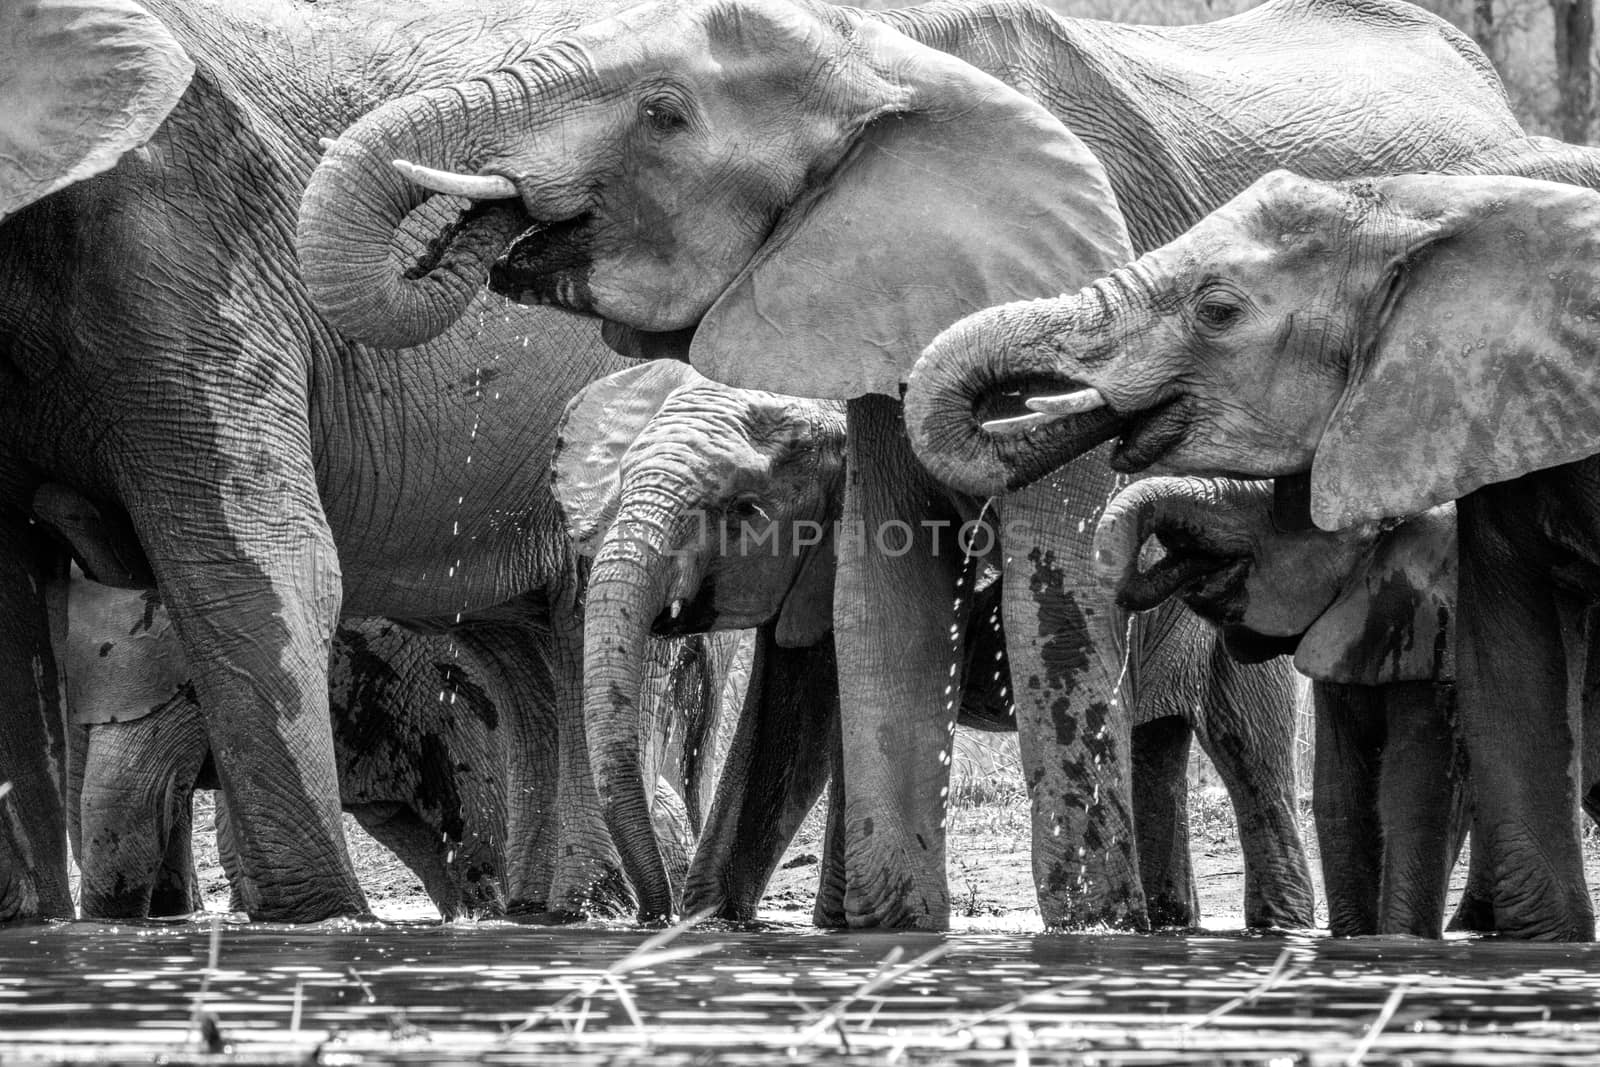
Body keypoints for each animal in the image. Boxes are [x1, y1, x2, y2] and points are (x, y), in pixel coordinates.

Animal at [0, 0, 681, 927]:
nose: (513, 208)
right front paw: (29, 923)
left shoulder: (189, 251)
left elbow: (251, 574)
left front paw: (323, 921)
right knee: (530, 656)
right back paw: (545, 912)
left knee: (580, 630)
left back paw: (583, 909)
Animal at [550, 363, 1312, 927]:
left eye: (742, 509)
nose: (647, 915)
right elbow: (780, 734)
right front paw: (715, 924)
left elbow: (806, 736)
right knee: (1155, 745)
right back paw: (1173, 923)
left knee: (1251, 756)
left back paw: (1280, 924)